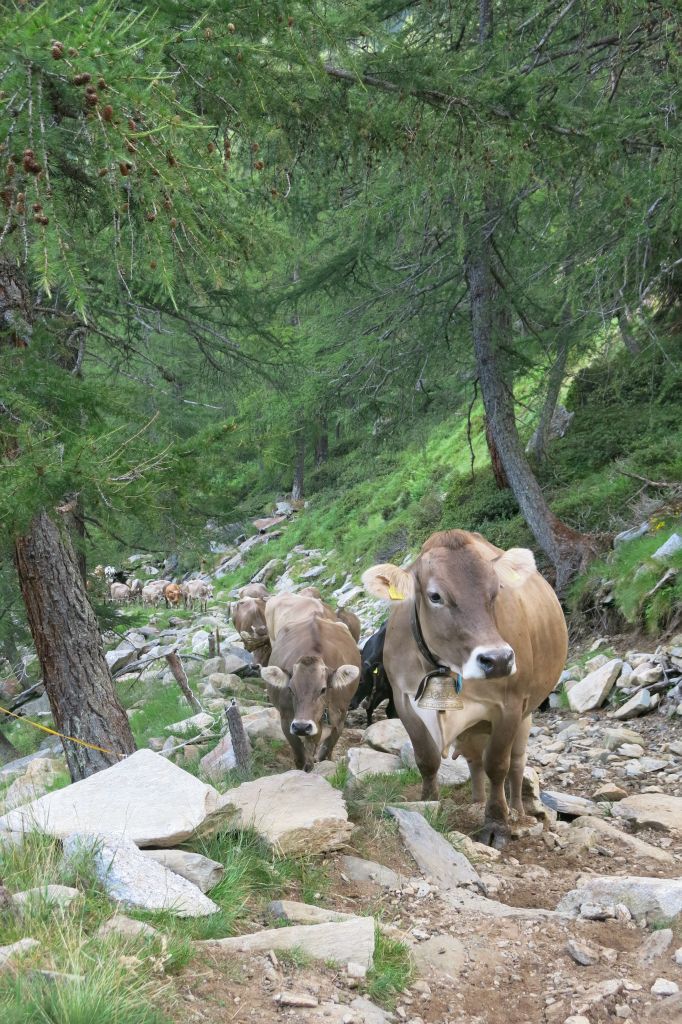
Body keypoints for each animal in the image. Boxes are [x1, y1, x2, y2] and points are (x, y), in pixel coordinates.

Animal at [259, 593, 358, 770]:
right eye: (291, 689)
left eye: (323, 689)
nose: (301, 726)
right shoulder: (287, 719)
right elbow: (299, 754)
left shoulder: (340, 716)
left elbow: (326, 748)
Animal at [364, 528, 565, 847]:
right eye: (435, 596)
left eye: (496, 591)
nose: (498, 660)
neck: (444, 666)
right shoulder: (403, 701)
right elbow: (426, 759)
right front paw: (428, 804)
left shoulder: (509, 705)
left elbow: (498, 764)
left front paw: (497, 824)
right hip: (475, 726)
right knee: (474, 760)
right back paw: (476, 801)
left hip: (526, 712)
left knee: (516, 763)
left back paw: (517, 812)